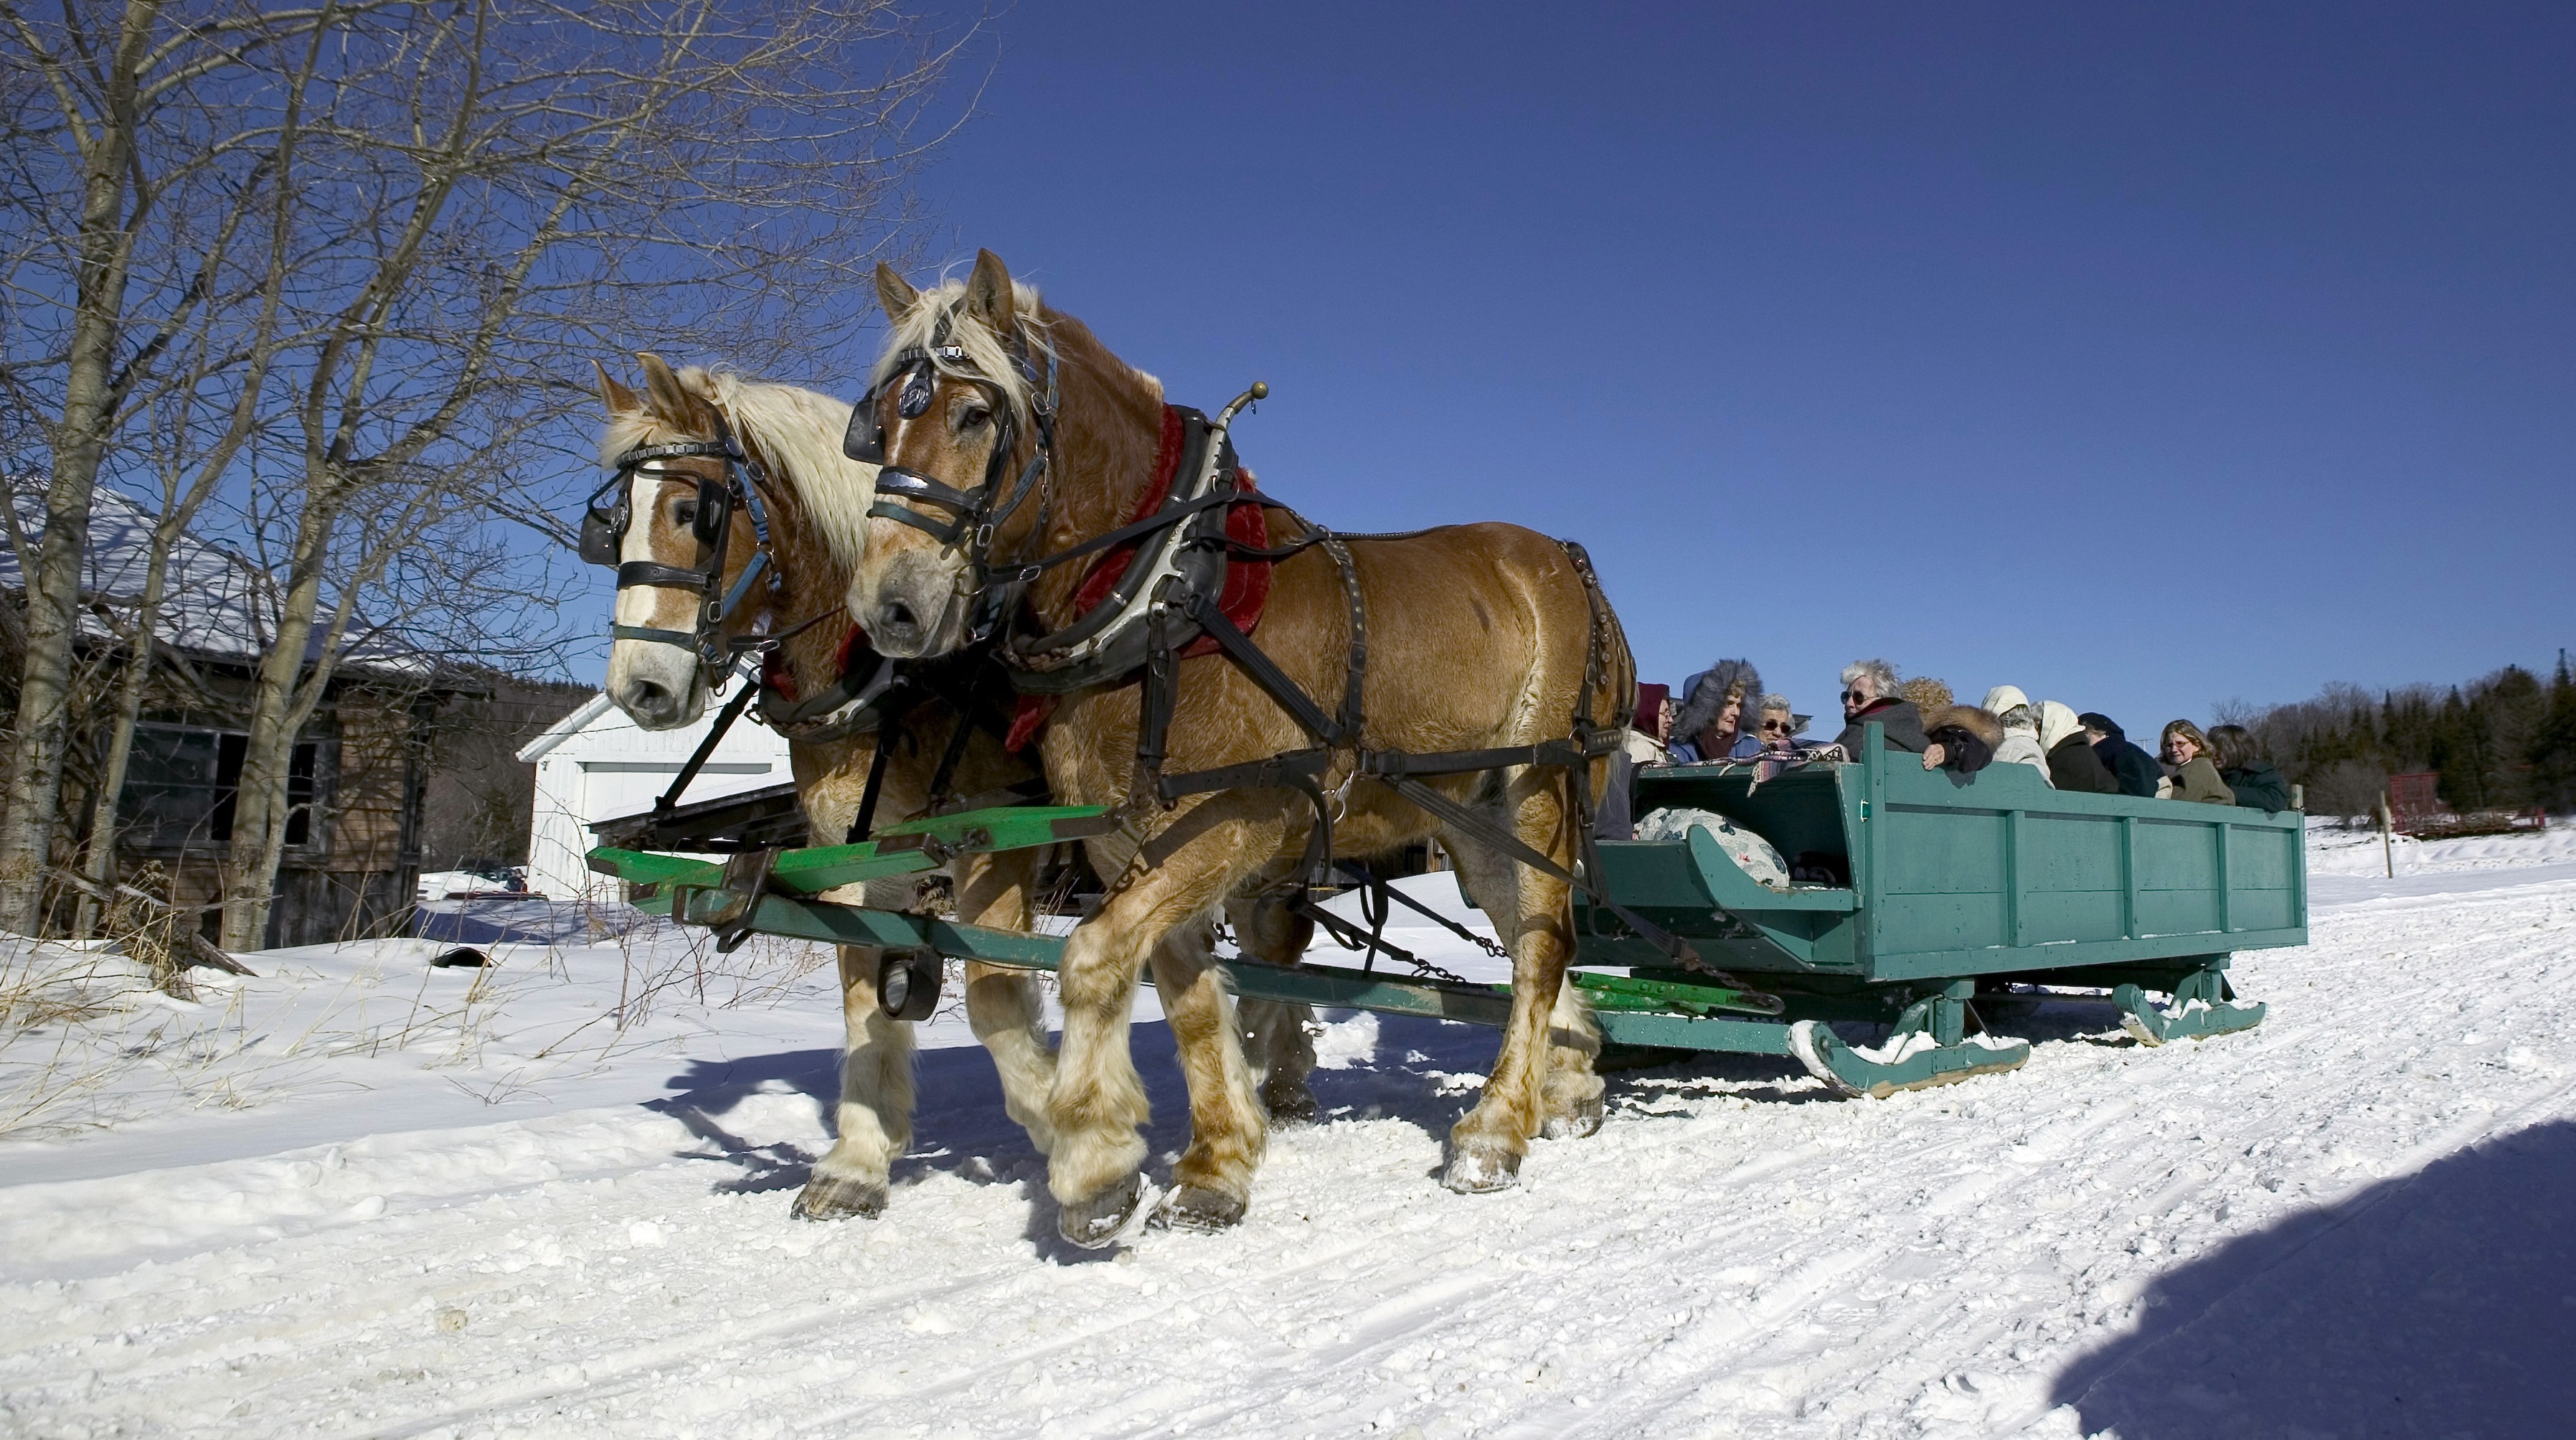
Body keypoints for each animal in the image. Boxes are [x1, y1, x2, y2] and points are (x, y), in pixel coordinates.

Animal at [855, 253, 1638, 1246]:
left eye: (973, 415)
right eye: (880, 422)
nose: (889, 606)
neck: (1165, 596)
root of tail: (1571, 564)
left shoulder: (1239, 817)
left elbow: (1093, 960)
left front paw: (1094, 1167)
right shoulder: (1128, 836)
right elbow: (1188, 996)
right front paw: (1215, 1169)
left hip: (1540, 787)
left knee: (1539, 953)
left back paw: (1494, 1132)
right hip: (1471, 818)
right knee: (1540, 935)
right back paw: (1567, 1083)